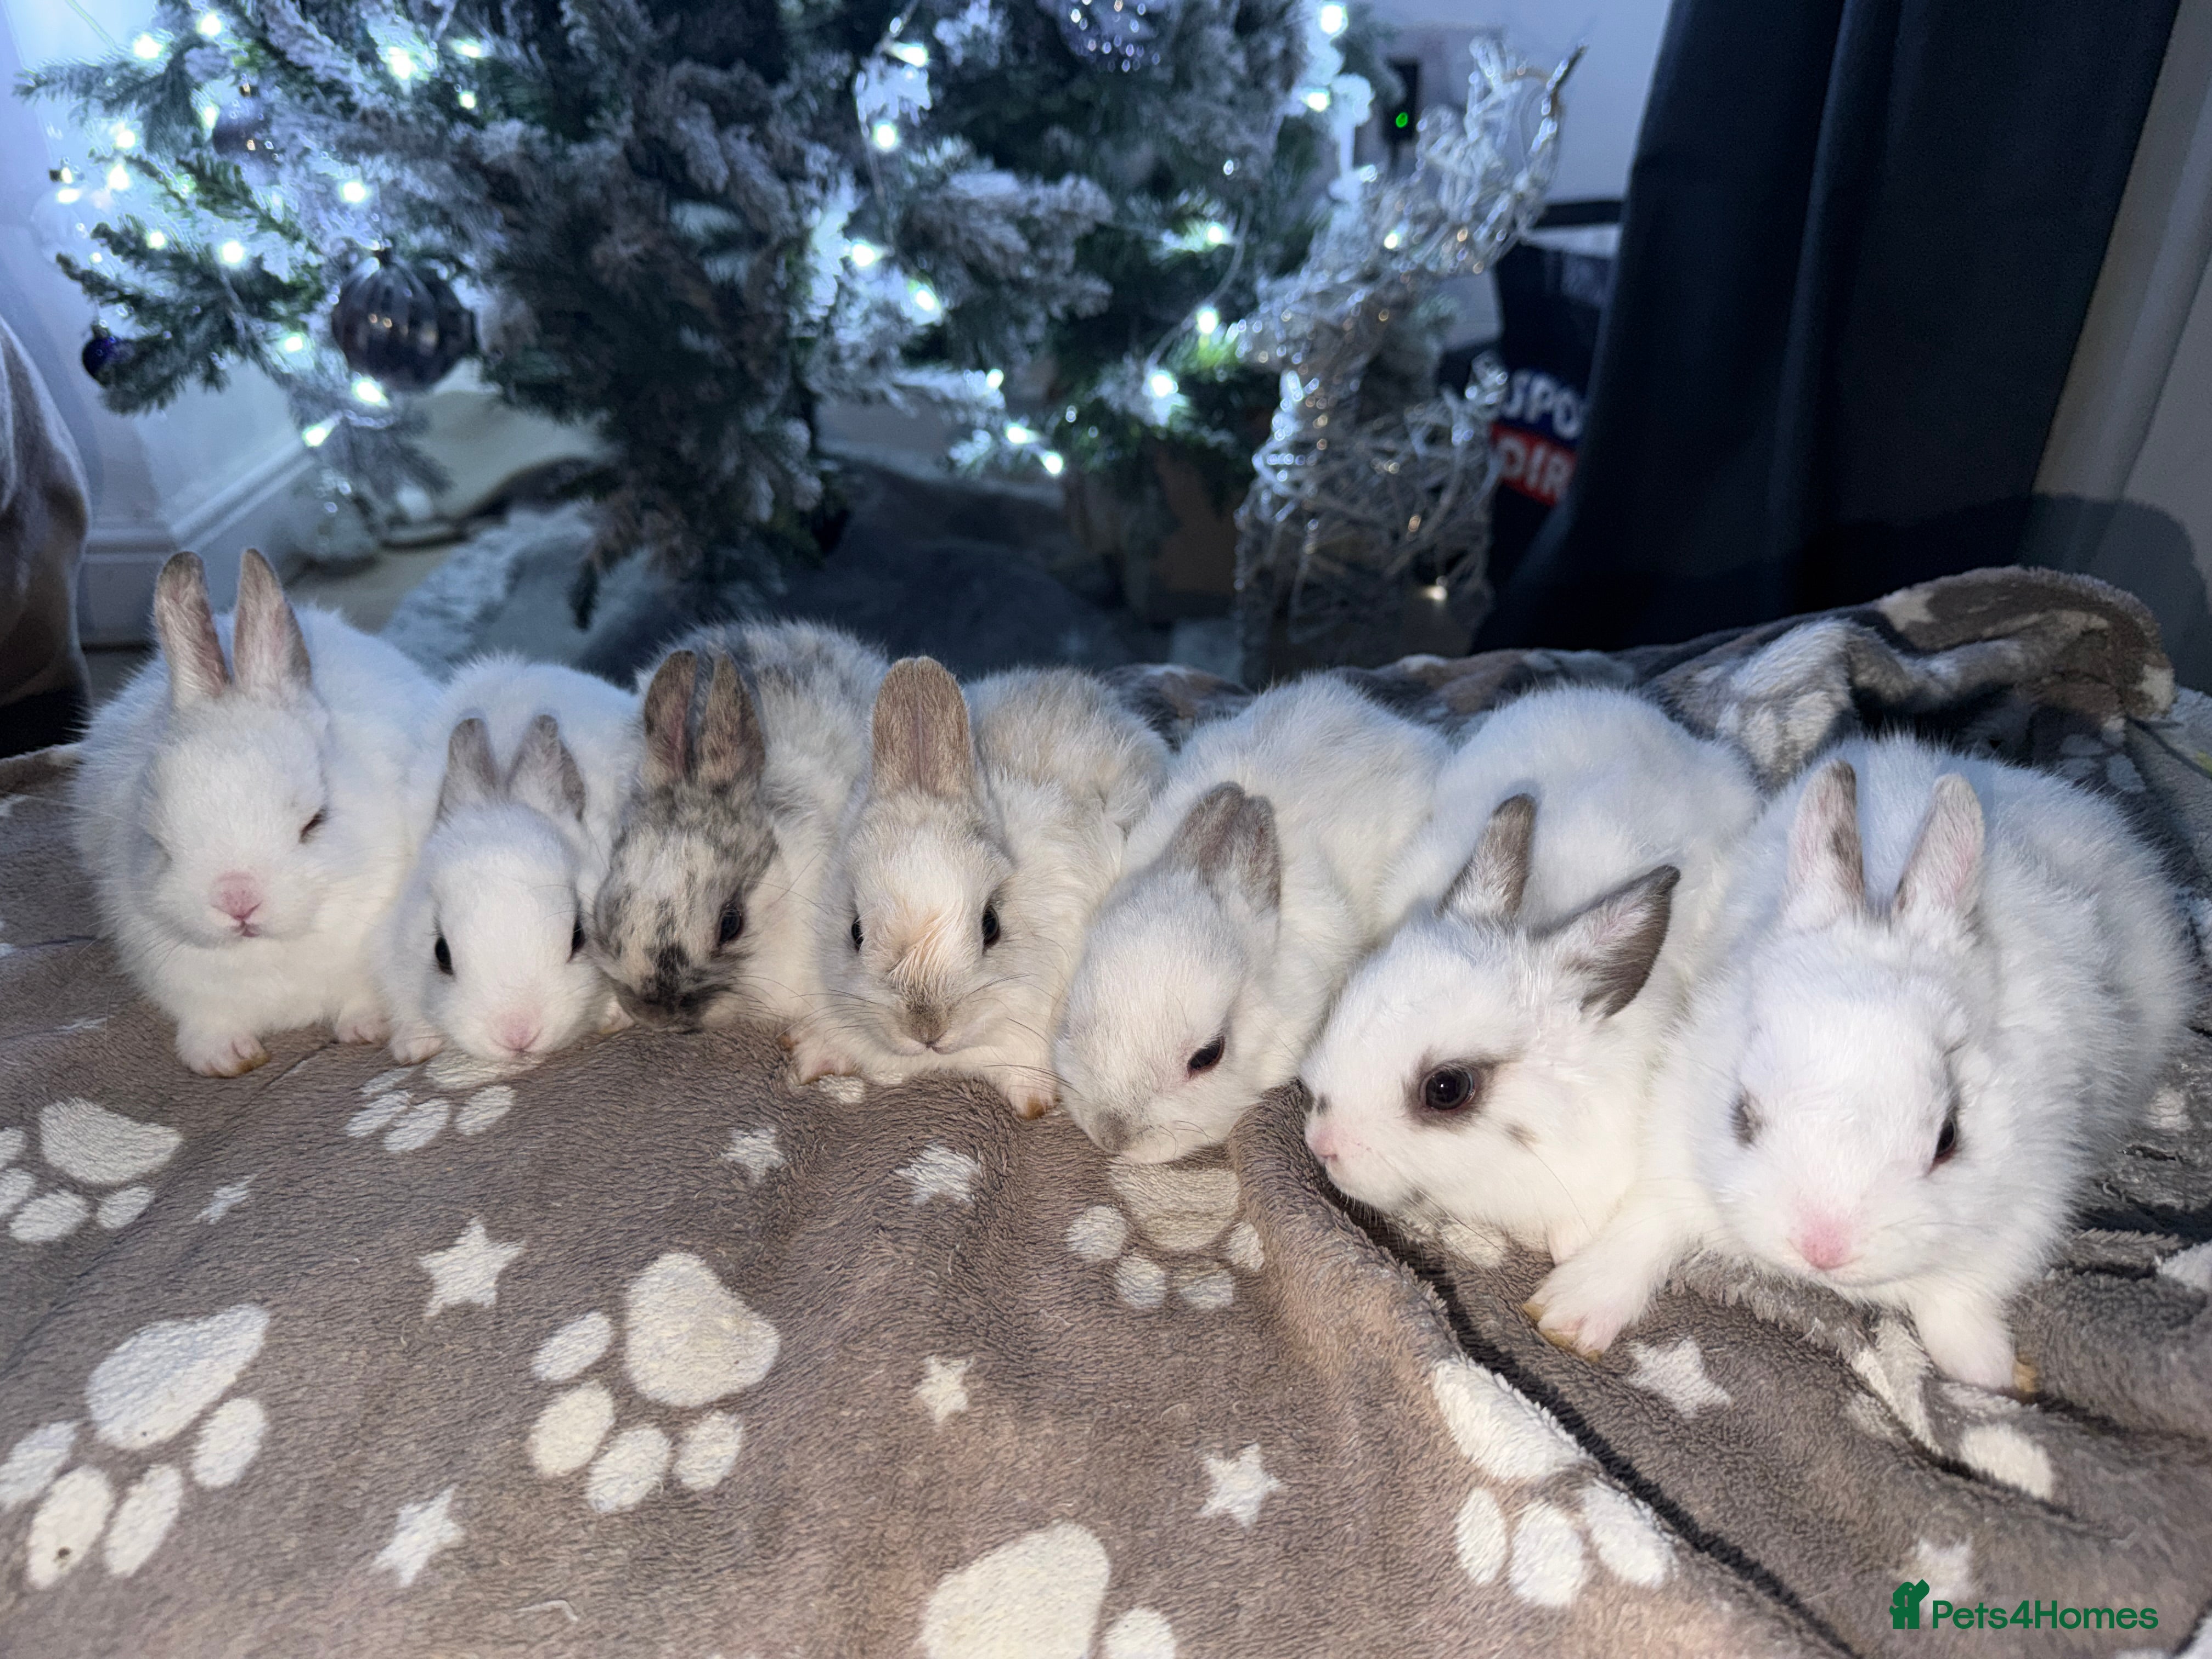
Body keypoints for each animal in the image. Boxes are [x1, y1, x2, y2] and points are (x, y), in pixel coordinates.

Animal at [71, 549, 434, 1076]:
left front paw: (368, 1027)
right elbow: (209, 1021)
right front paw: (223, 1059)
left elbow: (363, 997)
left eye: (315, 822)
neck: (272, 953)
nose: (237, 899)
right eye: (158, 842)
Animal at [1526, 734, 2195, 1391]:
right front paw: (1571, 1316)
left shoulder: (2023, 1207)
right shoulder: (1670, 1145)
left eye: (1949, 1138)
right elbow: (1644, 1229)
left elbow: (1958, 1309)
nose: (1824, 1249)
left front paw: (1996, 1383)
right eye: (1742, 1117)